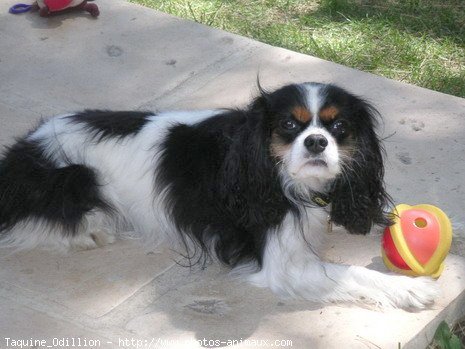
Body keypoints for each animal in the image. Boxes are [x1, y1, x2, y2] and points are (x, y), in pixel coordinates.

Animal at [0, 83, 436, 308]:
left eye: (339, 127)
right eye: (288, 125)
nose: (316, 141)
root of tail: (24, 149)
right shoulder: (285, 265)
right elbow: (350, 273)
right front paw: (409, 288)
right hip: (74, 175)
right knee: (31, 218)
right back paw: (90, 229)